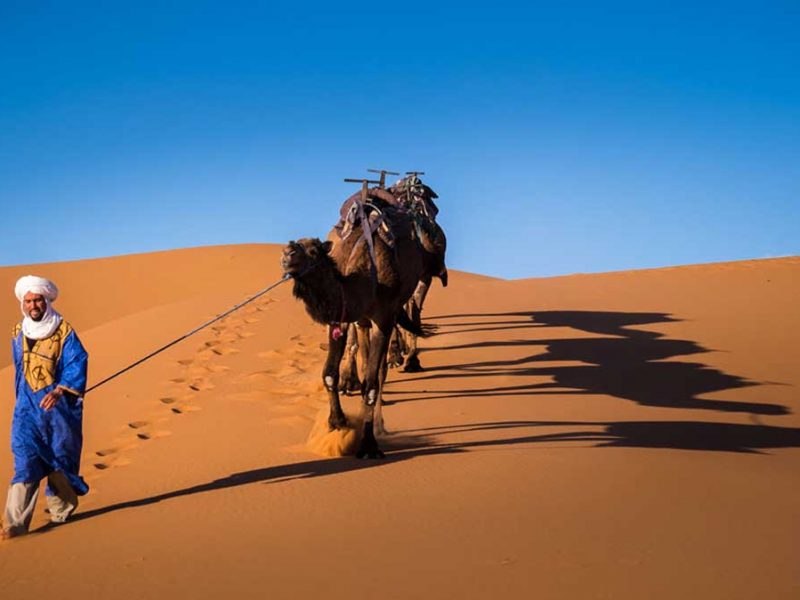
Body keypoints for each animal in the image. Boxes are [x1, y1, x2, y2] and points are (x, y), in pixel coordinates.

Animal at [280, 199, 424, 458]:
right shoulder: (343, 317)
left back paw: (379, 427)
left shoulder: (383, 319)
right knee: (366, 363)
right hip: (362, 322)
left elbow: (371, 385)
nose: (287, 254)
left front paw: (368, 445)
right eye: (294, 244)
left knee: (379, 373)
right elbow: (329, 374)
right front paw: (337, 422)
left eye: (314, 251)